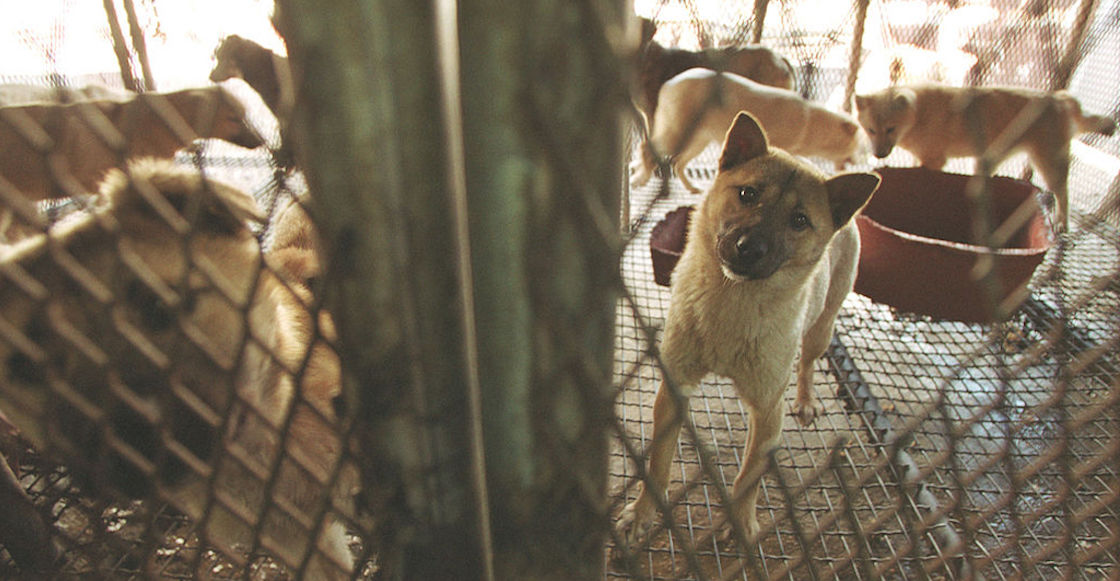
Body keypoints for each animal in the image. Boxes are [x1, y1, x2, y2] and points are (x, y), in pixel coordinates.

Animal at [618, 112, 878, 546]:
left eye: (799, 220)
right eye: (748, 194)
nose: (748, 248)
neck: (732, 305)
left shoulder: (769, 410)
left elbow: (749, 478)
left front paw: (740, 523)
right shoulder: (673, 389)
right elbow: (657, 464)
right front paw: (641, 513)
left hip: (821, 329)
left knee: (808, 361)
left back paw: (806, 399)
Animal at [631, 69, 864, 193]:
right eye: (861, 146)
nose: (860, 160)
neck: (811, 122)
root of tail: (668, 85)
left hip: (698, 140)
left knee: (678, 162)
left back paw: (691, 187)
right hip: (677, 130)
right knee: (647, 147)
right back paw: (640, 179)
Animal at [855, 82, 1111, 232]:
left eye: (890, 129)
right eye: (870, 130)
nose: (879, 154)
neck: (919, 114)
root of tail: (1060, 99)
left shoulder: (934, 159)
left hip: (1048, 164)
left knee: (1062, 192)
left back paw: (1061, 223)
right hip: (987, 160)